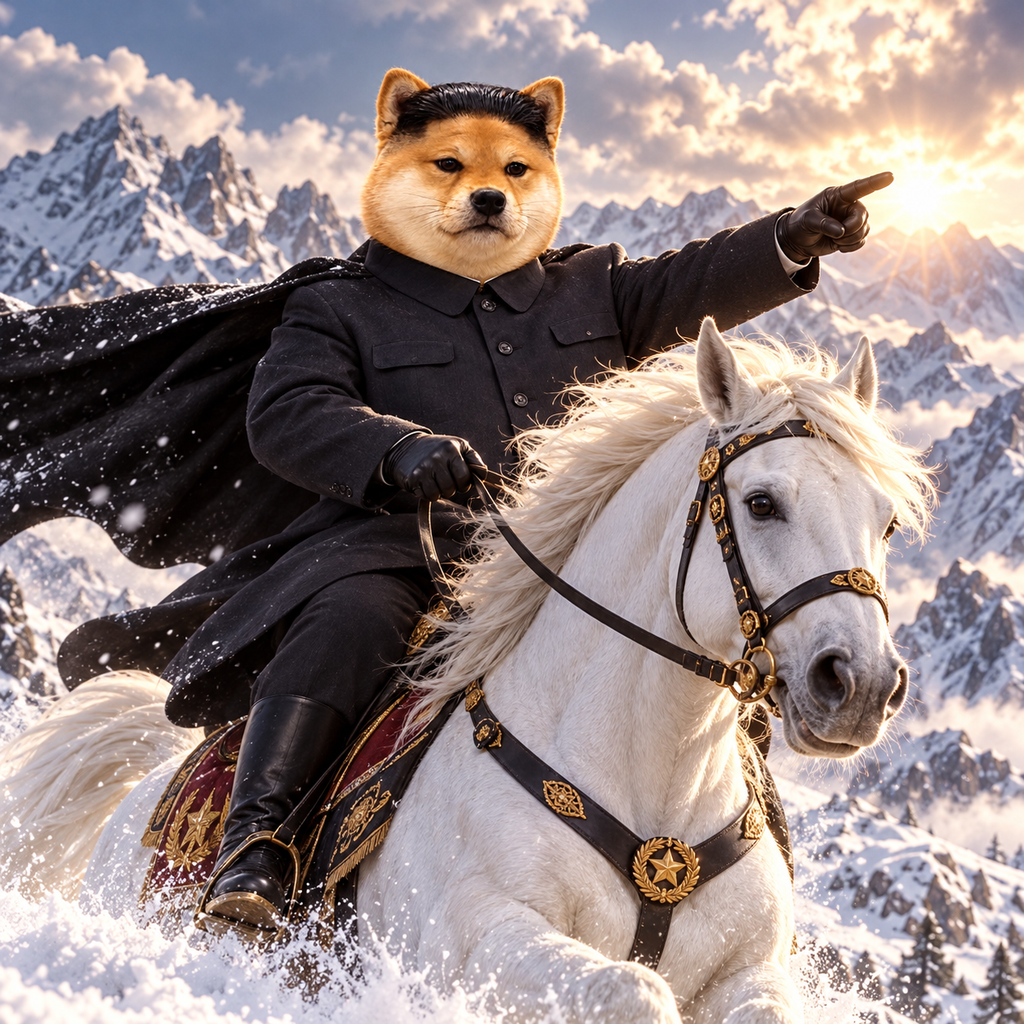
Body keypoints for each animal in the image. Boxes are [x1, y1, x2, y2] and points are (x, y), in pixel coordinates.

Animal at [0, 319, 932, 1023]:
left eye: (886, 521)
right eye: (762, 502)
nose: (859, 686)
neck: (651, 789)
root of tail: (143, 797)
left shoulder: (752, 975)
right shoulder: (476, 943)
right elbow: (634, 990)